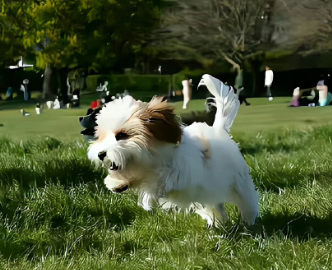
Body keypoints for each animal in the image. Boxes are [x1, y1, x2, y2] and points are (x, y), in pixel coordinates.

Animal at [87, 74, 258, 226]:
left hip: (239, 181)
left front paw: (147, 196)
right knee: (215, 205)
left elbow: (161, 180)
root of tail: (218, 129)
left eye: (122, 135)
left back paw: (249, 220)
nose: (101, 154)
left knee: (247, 198)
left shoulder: (181, 172)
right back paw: (217, 221)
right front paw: (116, 183)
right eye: (102, 137)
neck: (153, 160)